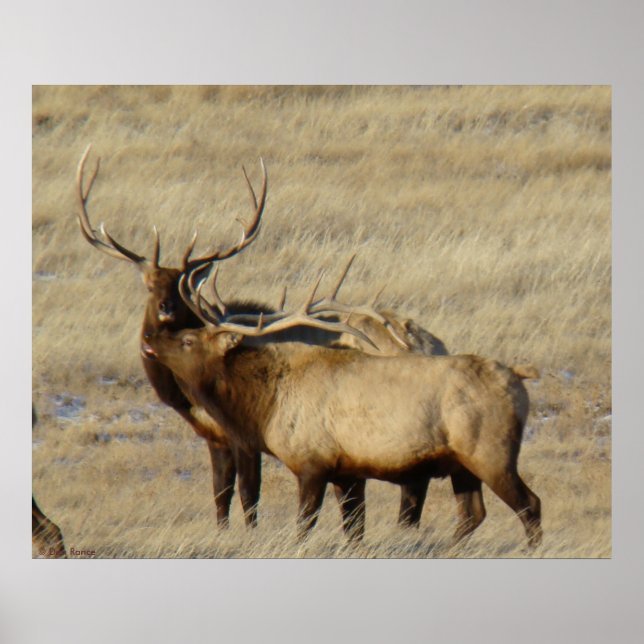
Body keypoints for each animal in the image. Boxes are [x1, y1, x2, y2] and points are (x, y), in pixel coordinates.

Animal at [140, 265, 543, 547]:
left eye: (189, 340)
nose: (151, 340)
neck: (265, 407)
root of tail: (518, 378)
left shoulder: (311, 463)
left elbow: (304, 525)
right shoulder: (346, 472)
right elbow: (354, 530)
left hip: (490, 451)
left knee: (530, 504)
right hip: (461, 464)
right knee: (472, 514)